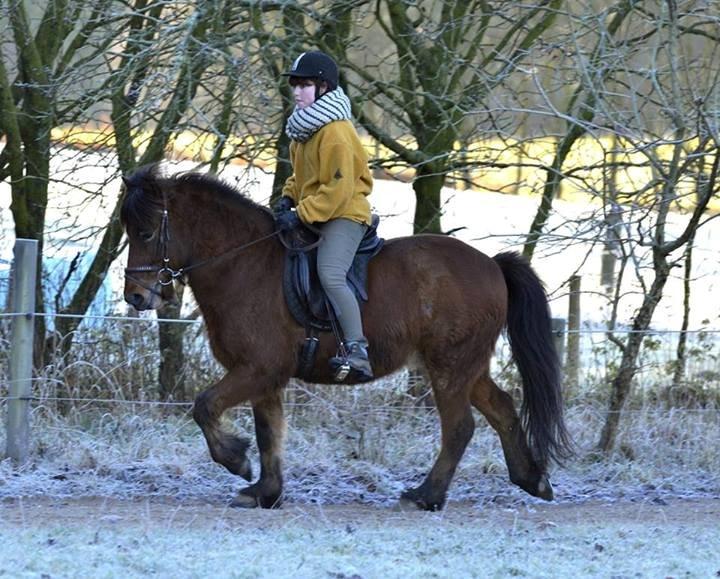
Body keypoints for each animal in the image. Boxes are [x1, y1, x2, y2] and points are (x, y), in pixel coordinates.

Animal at [121, 163, 572, 512]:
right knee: (501, 408)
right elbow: (269, 432)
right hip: (466, 366)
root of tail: (492, 265)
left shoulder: (257, 369)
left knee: (459, 428)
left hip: (450, 367)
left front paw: (236, 460)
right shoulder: (265, 377)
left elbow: (205, 406)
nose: (136, 296)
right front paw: (266, 492)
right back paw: (532, 479)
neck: (244, 263)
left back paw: (425, 496)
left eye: (146, 233)